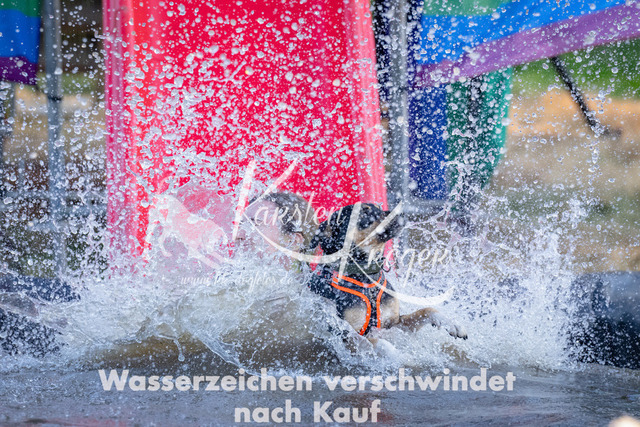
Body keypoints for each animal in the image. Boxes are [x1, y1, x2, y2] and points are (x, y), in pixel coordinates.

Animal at [308, 202, 467, 344]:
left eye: (378, 206)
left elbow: (426, 310)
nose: (401, 212)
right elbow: (379, 343)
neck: (367, 279)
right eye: (363, 212)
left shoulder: (394, 323)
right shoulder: (348, 333)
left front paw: (451, 324)